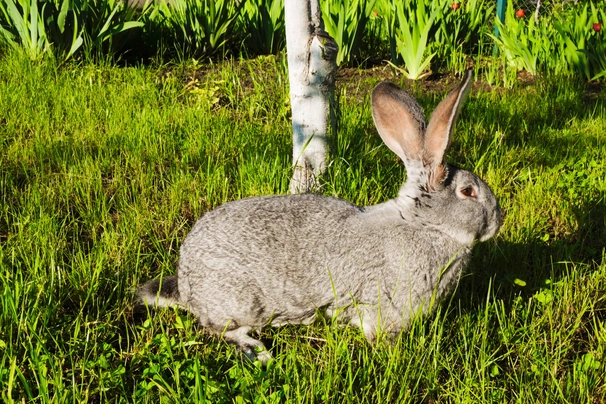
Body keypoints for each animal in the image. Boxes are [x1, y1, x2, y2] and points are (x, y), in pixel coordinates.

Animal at [138, 68, 504, 362]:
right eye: (468, 192)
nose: (499, 219)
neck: (425, 224)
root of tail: (186, 280)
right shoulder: (383, 306)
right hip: (241, 302)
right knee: (219, 328)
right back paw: (257, 351)